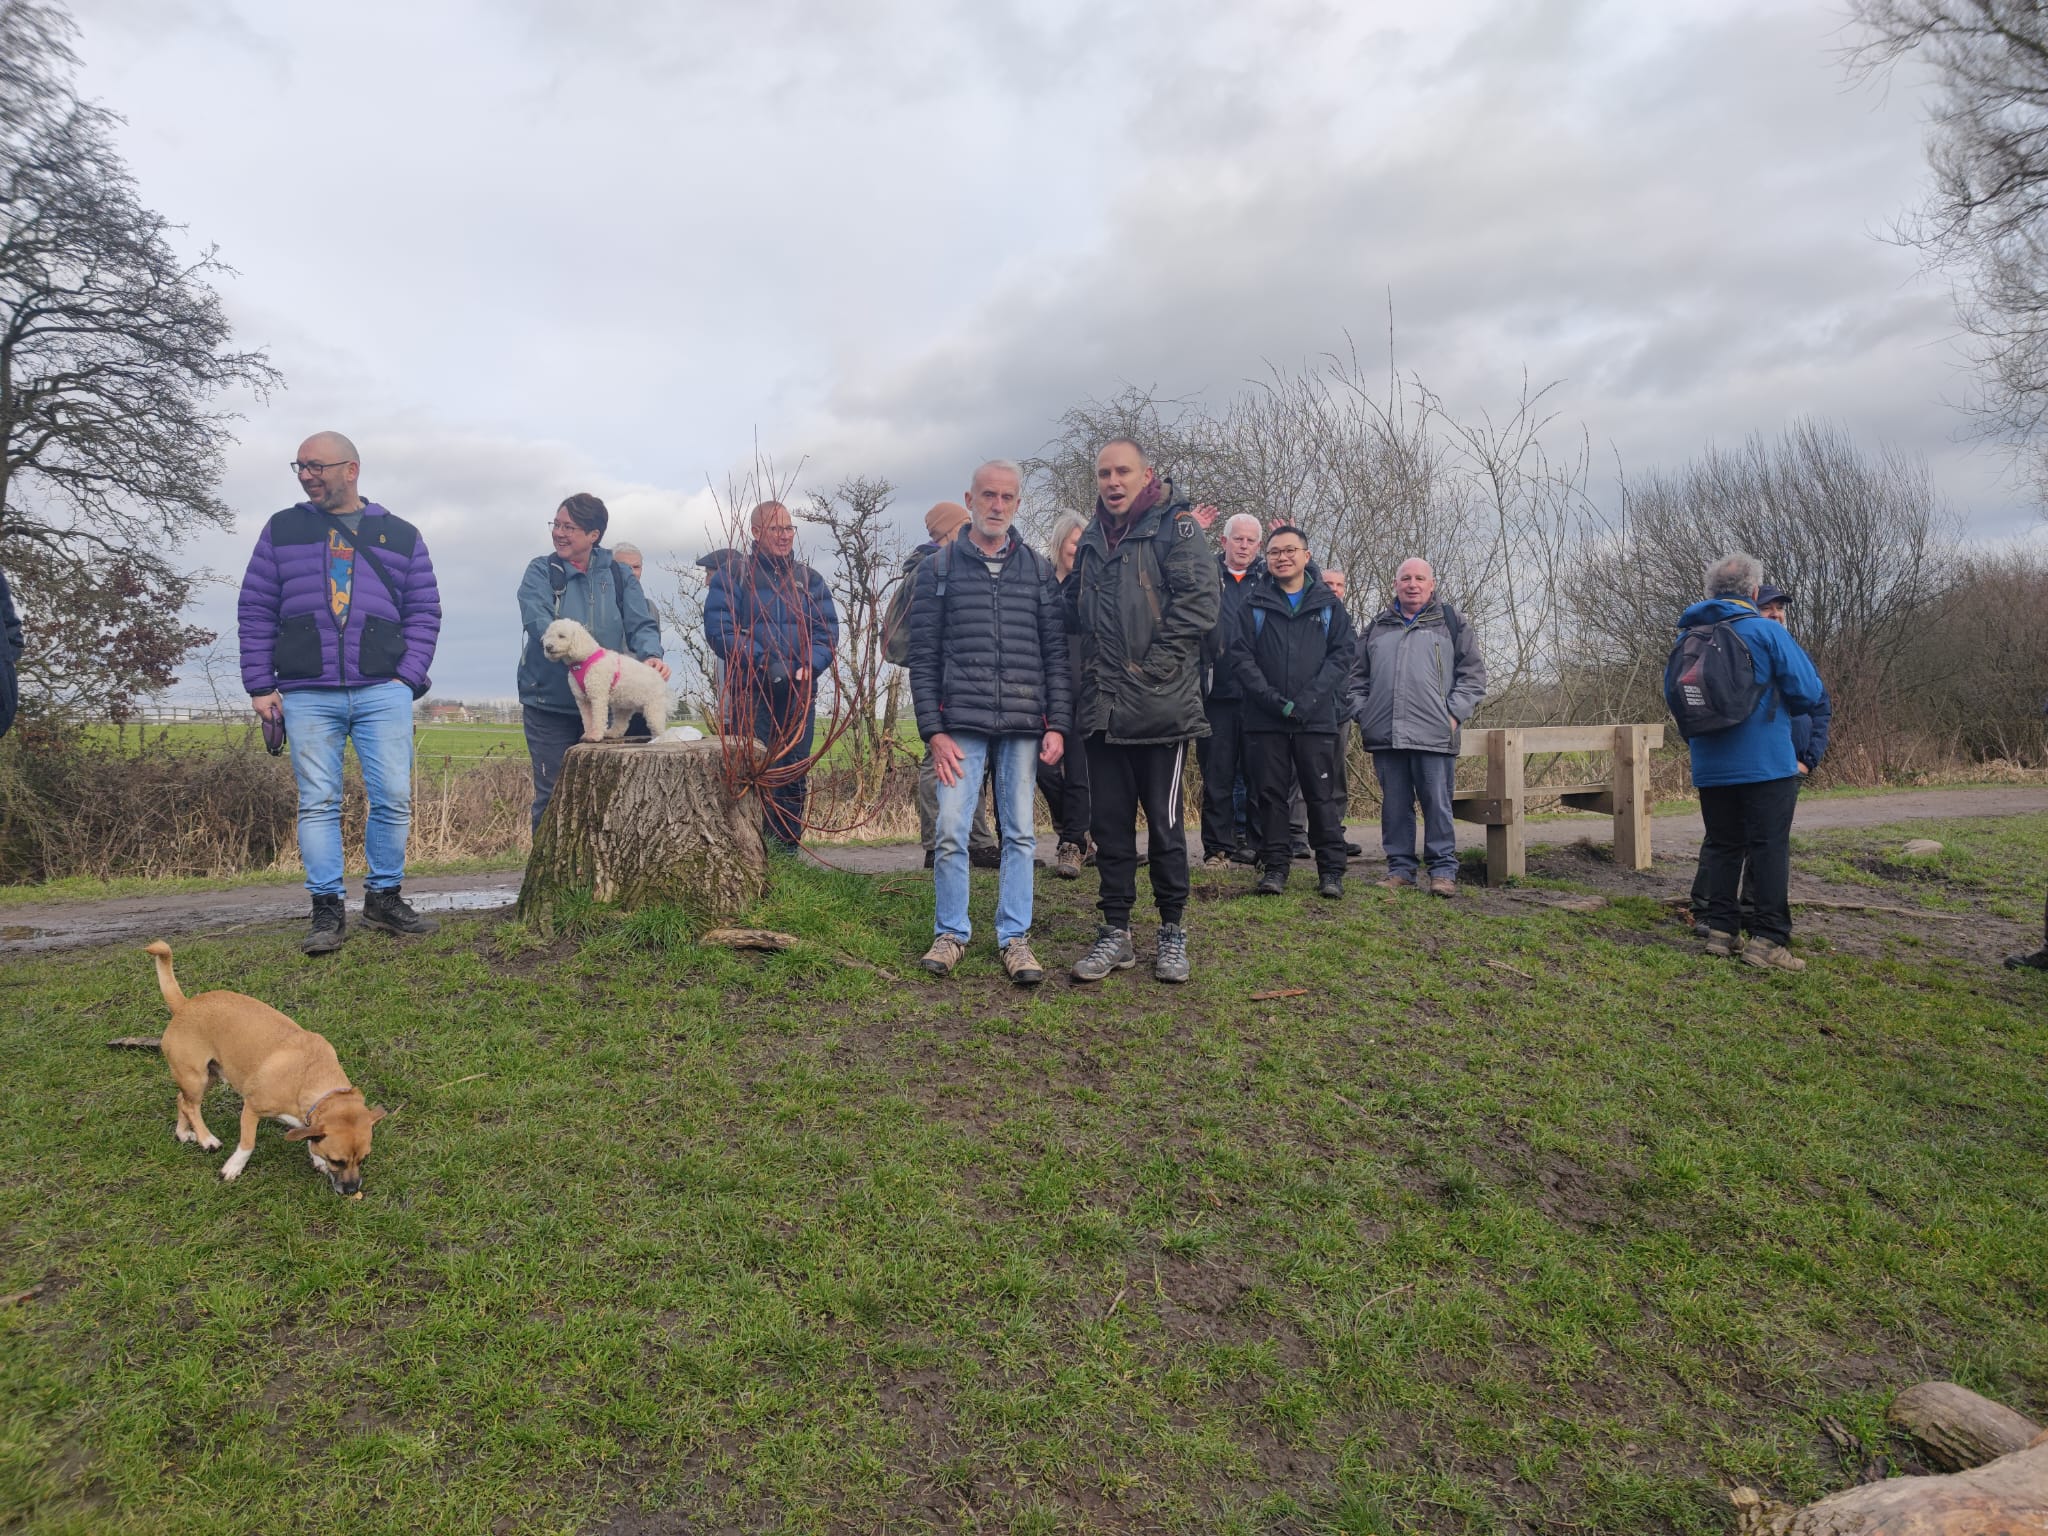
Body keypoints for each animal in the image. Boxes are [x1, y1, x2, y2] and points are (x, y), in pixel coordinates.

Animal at [144, 940, 389, 1196]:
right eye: (337, 1161)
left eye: (363, 1159)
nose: (352, 1190)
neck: (309, 1077)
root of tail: (184, 1005)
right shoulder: (251, 1109)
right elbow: (248, 1143)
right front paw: (233, 1167)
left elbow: (310, 1137)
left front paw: (316, 1158)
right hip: (196, 1078)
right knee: (191, 1106)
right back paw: (207, 1139)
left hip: (208, 1076)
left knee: (181, 1100)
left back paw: (183, 1133)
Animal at [539, 618, 671, 742]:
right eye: (548, 636)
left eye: (561, 636)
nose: (548, 647)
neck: (584, 659)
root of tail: (658, 675)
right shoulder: (583, 701)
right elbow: (587, 720)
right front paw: (588, 735)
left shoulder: (598, 697)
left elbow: (598, 719)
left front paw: (595, 736)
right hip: (623, 706)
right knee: (621, 724)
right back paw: (611, 733)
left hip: (654, 709)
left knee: (659, 729)